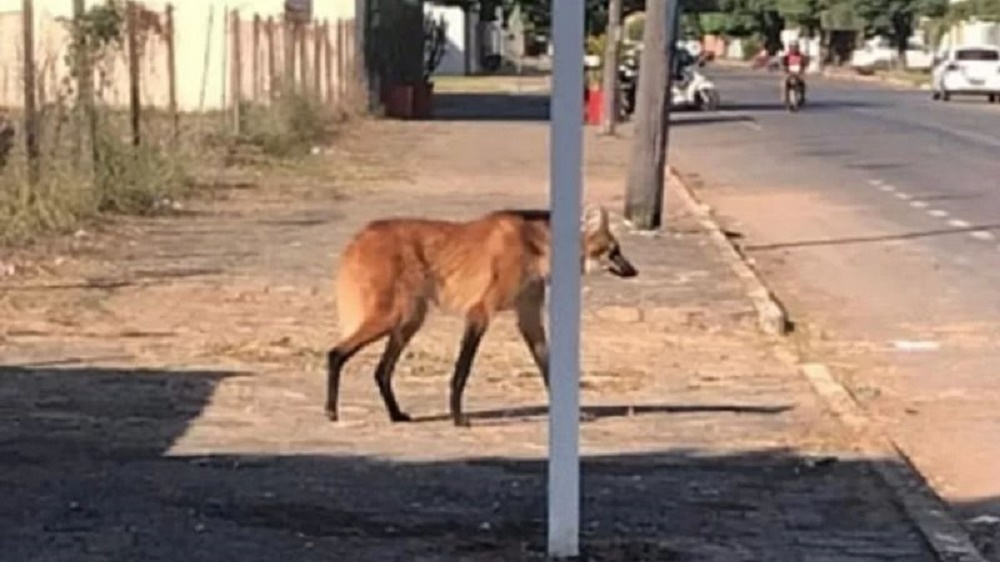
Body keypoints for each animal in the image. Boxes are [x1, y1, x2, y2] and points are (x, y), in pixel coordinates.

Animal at [328, 205, 640, 424]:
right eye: (614, 251)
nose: (634, 271)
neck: (538, 249)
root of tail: (362, 233)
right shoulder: (479, 312)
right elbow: (462, 371)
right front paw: (458, 418)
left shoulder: (529, 317)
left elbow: (547, 366)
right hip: (393, 315)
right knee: (336, 353)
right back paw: (331, 411)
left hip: (410, 320)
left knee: (381, 370)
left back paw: (396, 415)